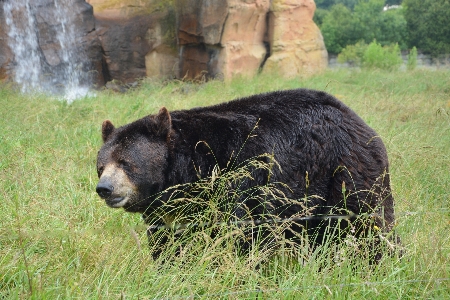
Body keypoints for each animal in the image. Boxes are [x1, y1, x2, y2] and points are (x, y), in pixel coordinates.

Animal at [96, 88, 398, 258]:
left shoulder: (240, 181)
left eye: (125, 162)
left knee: (368, 224)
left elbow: (239, 236)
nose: (105, 189)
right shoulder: (168, 213)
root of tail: (358, 120)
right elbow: (168, 244)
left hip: (346, 174)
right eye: (100, 165)